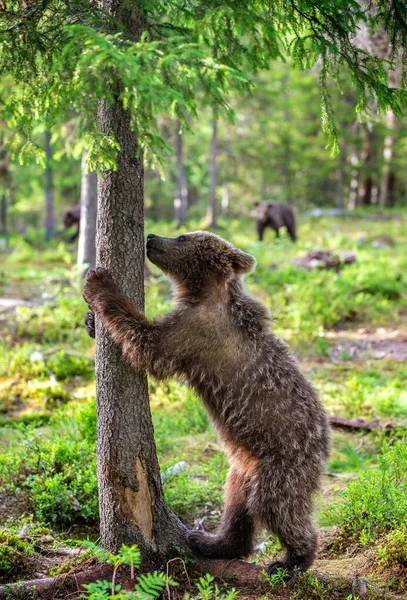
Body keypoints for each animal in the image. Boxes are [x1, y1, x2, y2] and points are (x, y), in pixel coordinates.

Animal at [83, 231, 332, 576]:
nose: (151, 236)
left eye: (182, 236)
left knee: (277, 506)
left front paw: (98, 285)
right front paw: (90, 322)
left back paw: (292, 561)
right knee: (237, 503)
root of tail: (325, 443)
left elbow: (147, 344)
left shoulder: (195, 331)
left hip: (285, 459)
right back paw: (210, 541)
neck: (203, 294)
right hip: (246, 464)